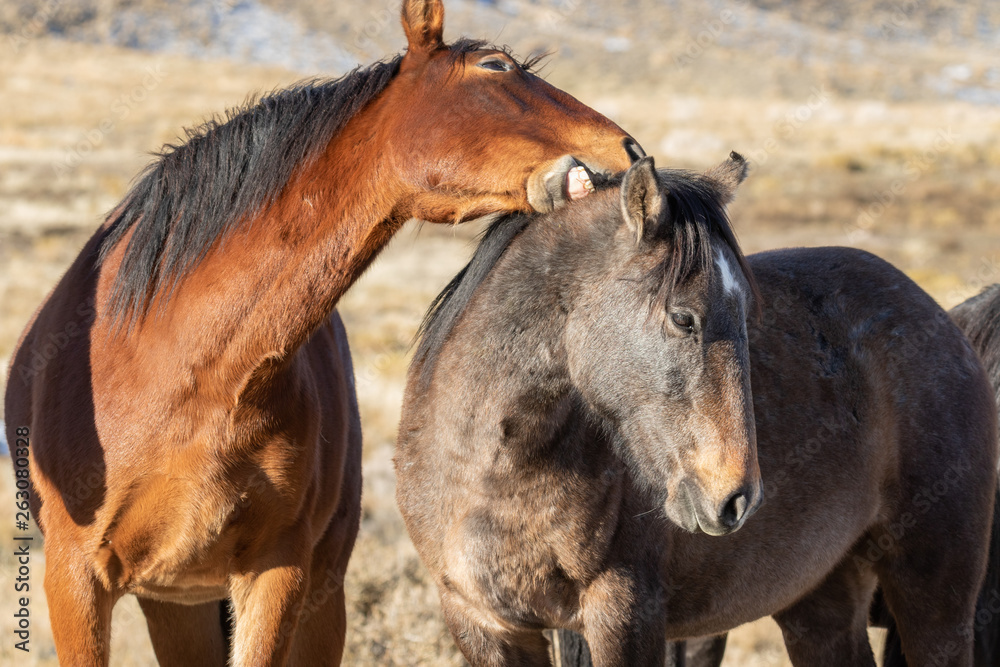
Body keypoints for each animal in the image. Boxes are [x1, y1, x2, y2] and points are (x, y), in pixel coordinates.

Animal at [2, 0, 641, 664]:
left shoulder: (276, 573)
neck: (174, 372)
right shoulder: (75, 577)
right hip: (175, 602)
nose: (629, 148)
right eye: (496, 67)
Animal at [395, 154, 998, 666]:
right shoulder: (485, 624)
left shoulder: (623, 615)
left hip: (935, 597)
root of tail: (940, 321)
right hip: (820, 602)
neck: (488, 477)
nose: (738, 499)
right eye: (683, 318)